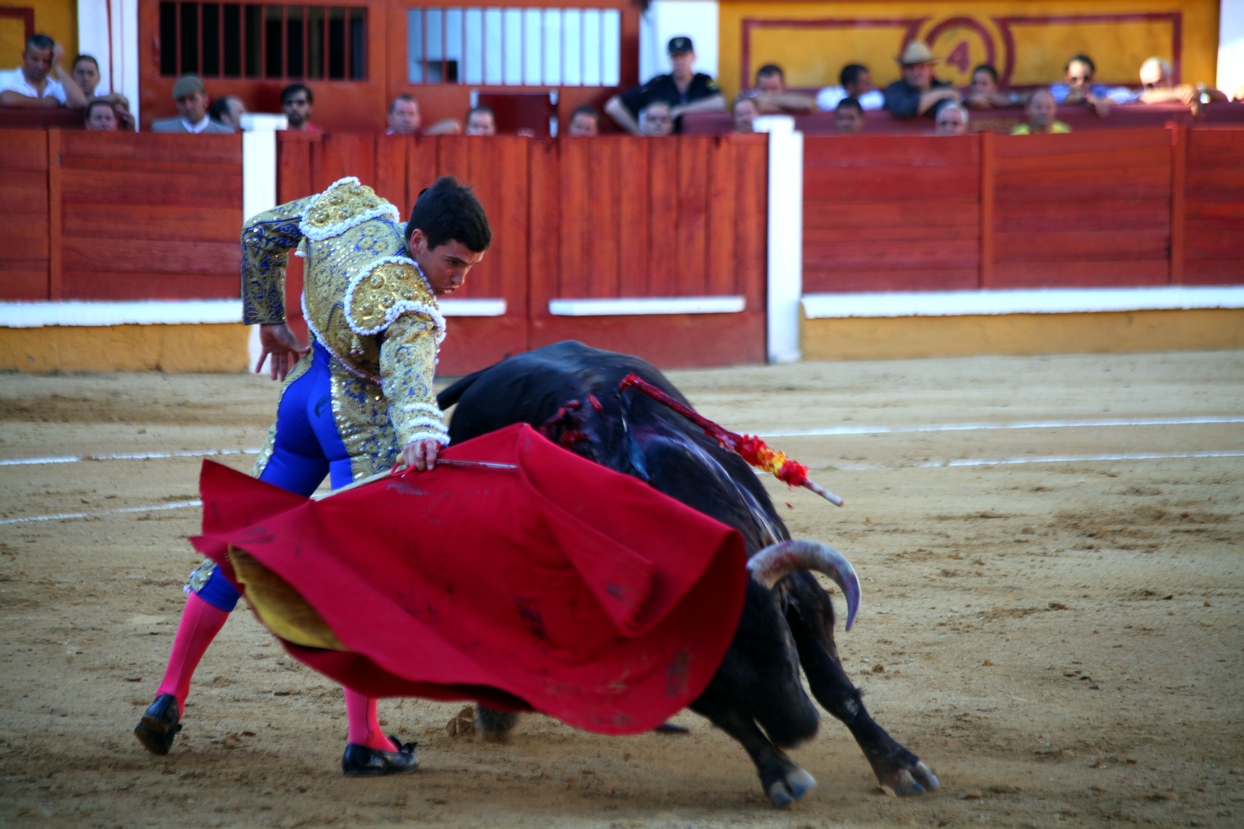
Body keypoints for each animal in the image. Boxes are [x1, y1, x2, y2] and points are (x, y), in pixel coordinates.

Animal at [437, 338, 935, 801]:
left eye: (781, 640)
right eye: (724, 668)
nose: (797, 729)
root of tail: (492, 369)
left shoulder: (803, 596)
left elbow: (835, 687)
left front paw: (899, 767)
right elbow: (729, 714)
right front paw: (781, 774)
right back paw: (497, 713)